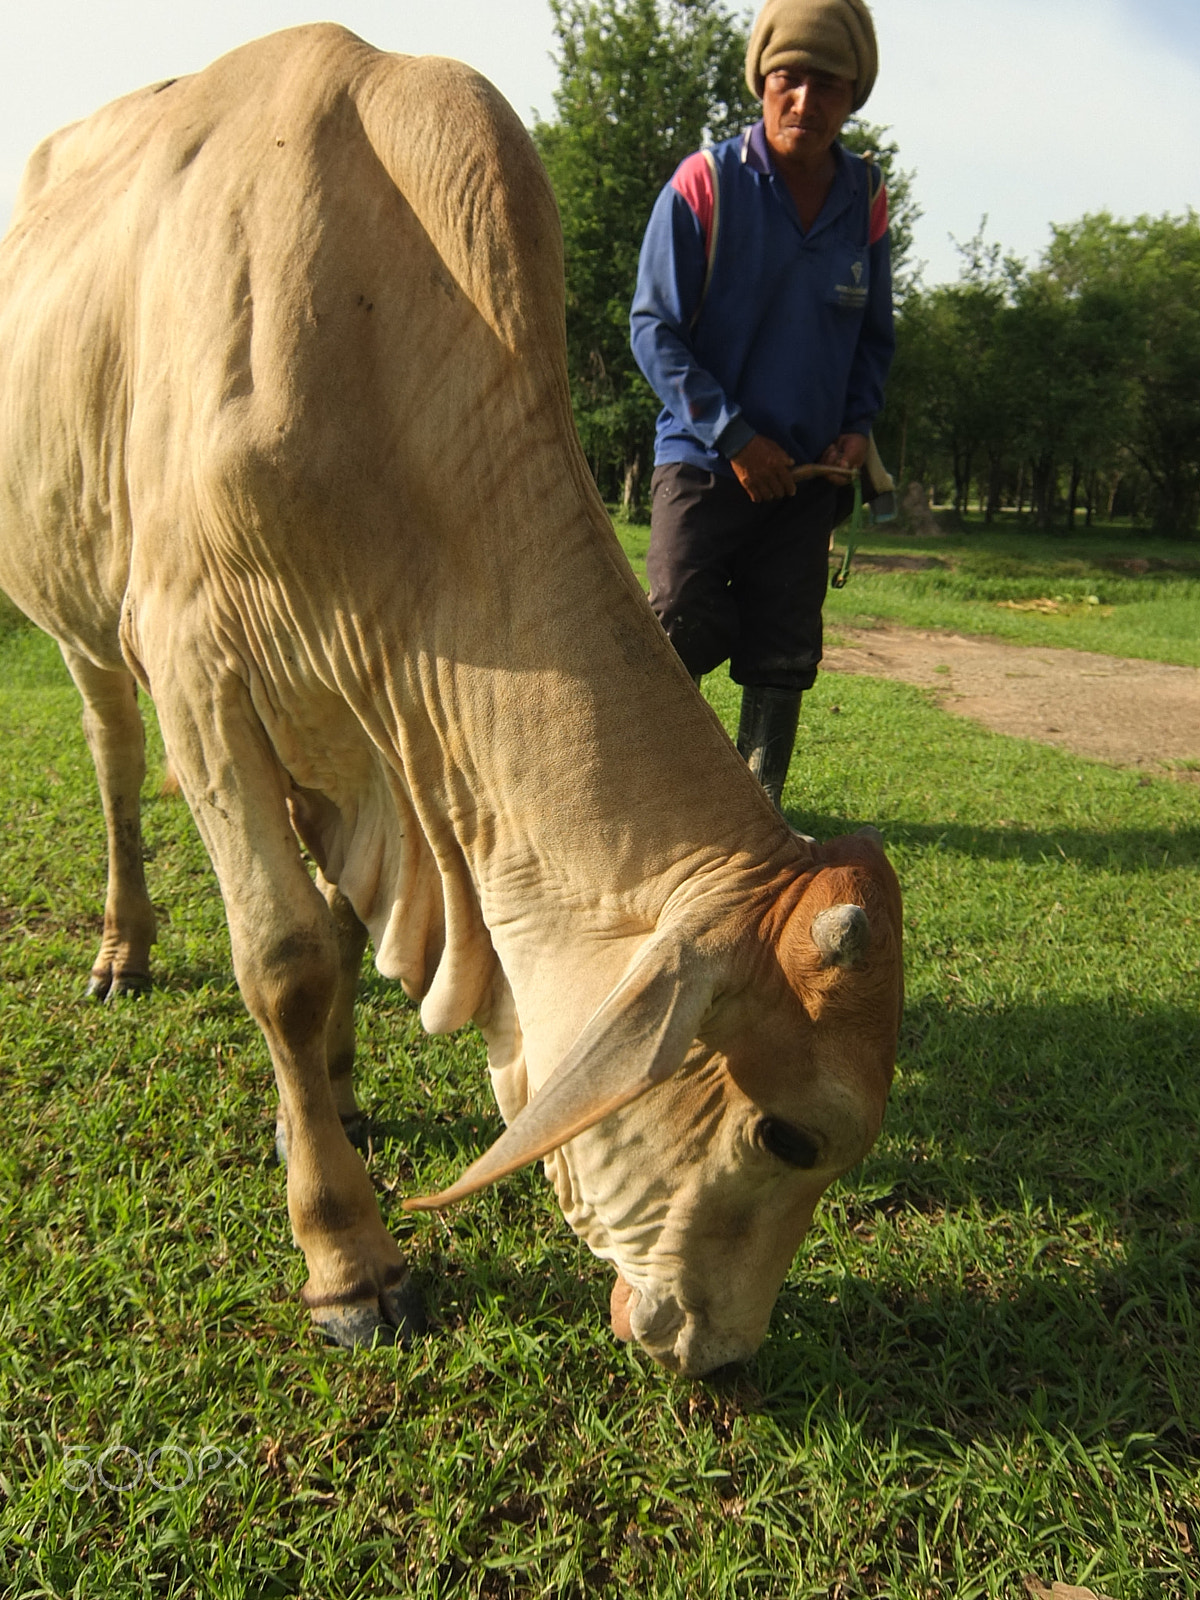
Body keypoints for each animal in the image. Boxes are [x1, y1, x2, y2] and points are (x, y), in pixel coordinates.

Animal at [0, 21, 902, 1376]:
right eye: (789, 1133)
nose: (721, 1355)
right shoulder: (199, 662)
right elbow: (286, 955)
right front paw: (347, 1255)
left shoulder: (357, 721)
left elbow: (334, 920)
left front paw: (325, 1098)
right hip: (83, 613)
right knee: (112, 760)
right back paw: (123, 946)